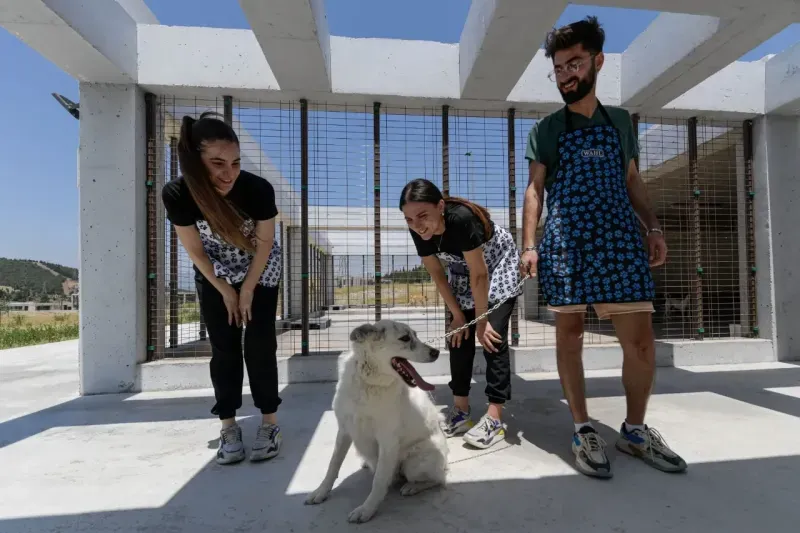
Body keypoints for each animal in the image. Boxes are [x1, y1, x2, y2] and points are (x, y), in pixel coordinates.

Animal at [304, 320, 446, 520]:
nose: (436, 352)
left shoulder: (387, 441)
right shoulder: (344, 430)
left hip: (414, 463)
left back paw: (412, 486)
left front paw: (367, 509)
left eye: (415, 336)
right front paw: (321, 492)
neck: (369, 383)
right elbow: (333, 465)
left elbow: (378, 481)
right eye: (405, 338)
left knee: (438, 479)